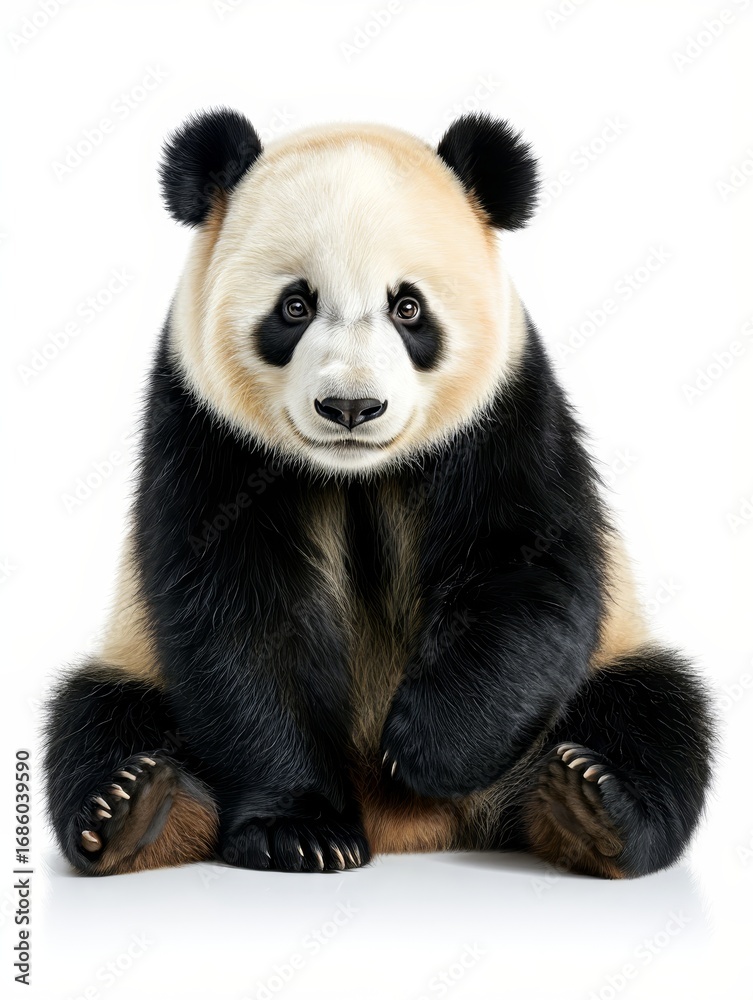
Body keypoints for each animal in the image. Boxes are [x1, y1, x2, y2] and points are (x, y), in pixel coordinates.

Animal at [43, 108, 715, 879]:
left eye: (409, 308)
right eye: (295, 305)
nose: (350, 408)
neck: (354, 474)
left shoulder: (508, 409)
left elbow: (527, 564)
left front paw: (427, 749)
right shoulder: (204, 428)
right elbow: (239, 616)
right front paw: (300, 831)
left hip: (612, 656)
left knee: (654, 709)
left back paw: (588, 807)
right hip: (132, 656)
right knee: (94, 715)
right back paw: (134, 808)